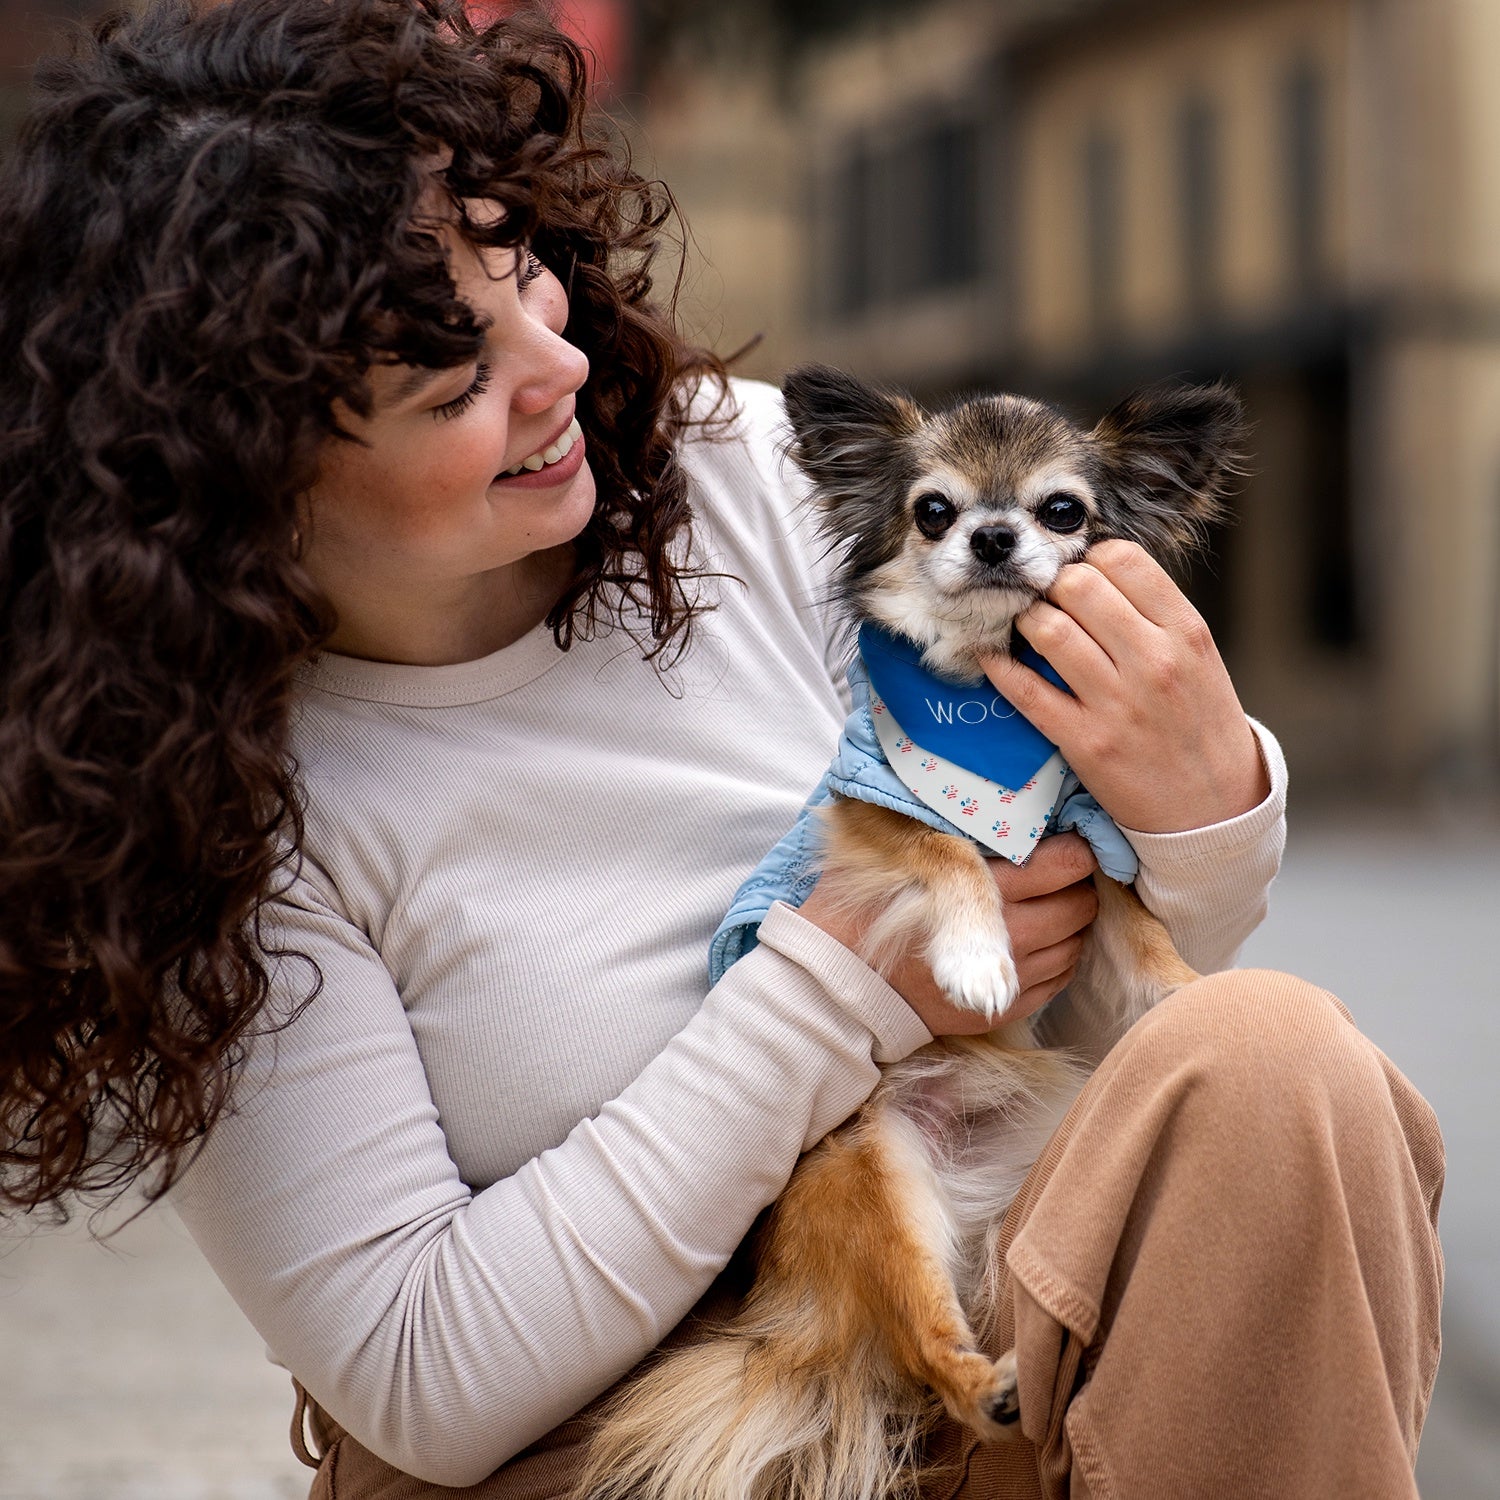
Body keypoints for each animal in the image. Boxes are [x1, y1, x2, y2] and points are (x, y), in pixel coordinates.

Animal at [579, 366, 1248, 1500]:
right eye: (933, 510)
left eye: (1061, 512)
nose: (992, 535)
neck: (982, 699)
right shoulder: (867, 810)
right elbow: (948, 853)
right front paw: (977, 961)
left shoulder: (1092, 825)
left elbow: (1137, 917)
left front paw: (1183, 991)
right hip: (875, 1185)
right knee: (926, 1348)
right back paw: (992, 1389)